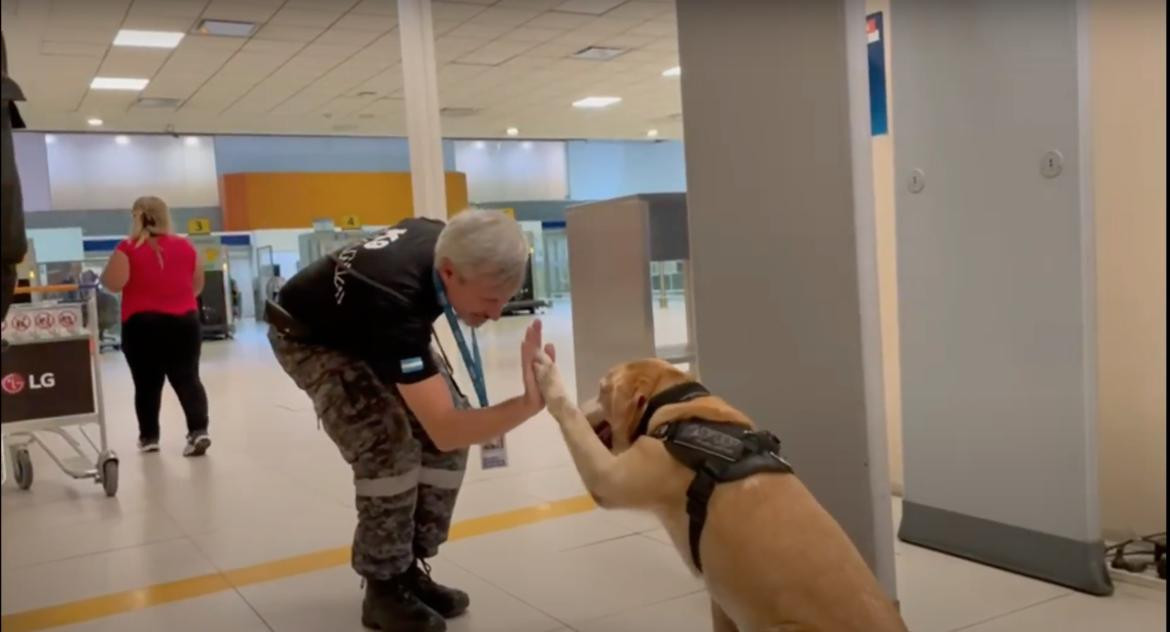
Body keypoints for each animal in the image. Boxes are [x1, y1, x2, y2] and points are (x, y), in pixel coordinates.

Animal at [531, 353, 903, 627]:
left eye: (601, 388)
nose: (585, 404)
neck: (680, 408)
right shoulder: (722, 605)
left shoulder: (608, 479)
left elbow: (568, 418)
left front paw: (548, 376)